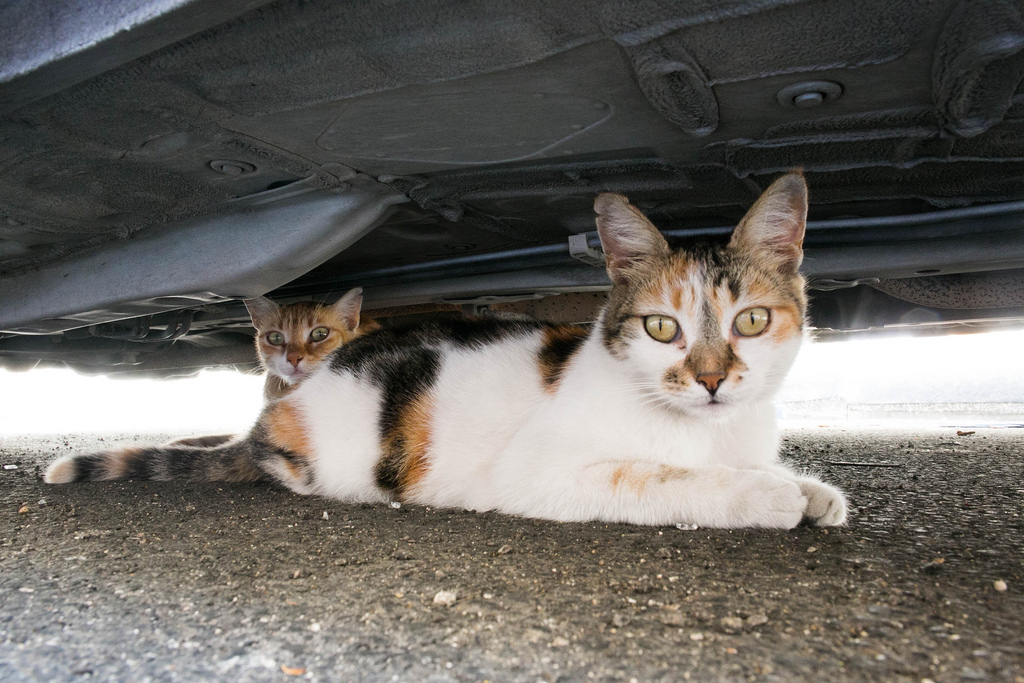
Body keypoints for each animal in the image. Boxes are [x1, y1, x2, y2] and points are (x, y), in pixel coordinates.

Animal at [44, 174, 847, 532]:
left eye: (751, 320)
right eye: (661, 329)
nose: (712, 379)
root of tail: (280, 412)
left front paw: (805, 486)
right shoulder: (544, 474)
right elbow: (662, 478)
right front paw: (762, 495)